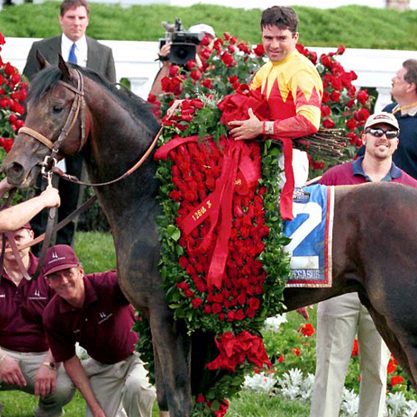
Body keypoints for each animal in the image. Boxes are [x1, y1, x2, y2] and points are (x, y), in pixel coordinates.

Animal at [4, 57, 417, 414]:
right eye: (27, 102)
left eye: (57, 107)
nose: (15, 167)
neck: (153, 196)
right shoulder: (173, 321)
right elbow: (175, 397)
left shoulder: (166, 315)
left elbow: (177, 397)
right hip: (381, 314)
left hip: (403, 318)